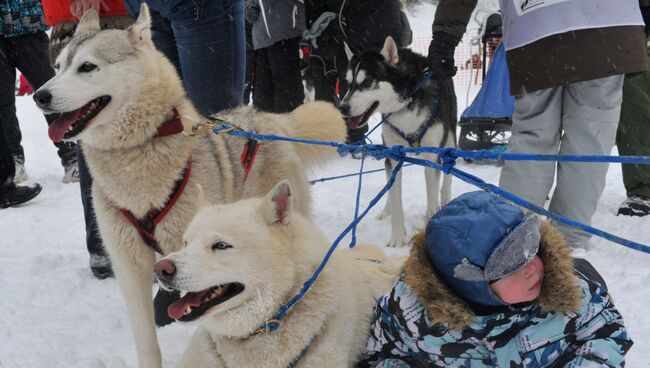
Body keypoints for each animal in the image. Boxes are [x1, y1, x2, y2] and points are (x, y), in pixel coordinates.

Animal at [33, 5, 346, 368]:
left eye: (87, 67)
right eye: (58, 67)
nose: (40, 95)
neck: (135, 156)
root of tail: (269, 118)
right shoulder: (130, 264)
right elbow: (146, 336)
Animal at [340, 36, 456, 247]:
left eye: (367, 81)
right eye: (349, 82)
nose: (343, 108)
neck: (406, 103)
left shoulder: (432, 156)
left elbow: (431, 195)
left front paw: (430, 220)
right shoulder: (393, 155)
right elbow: (395, 199)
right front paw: (396, 237)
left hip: (450, 142)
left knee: (447, 176)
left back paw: (445, 201)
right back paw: (385, 210)